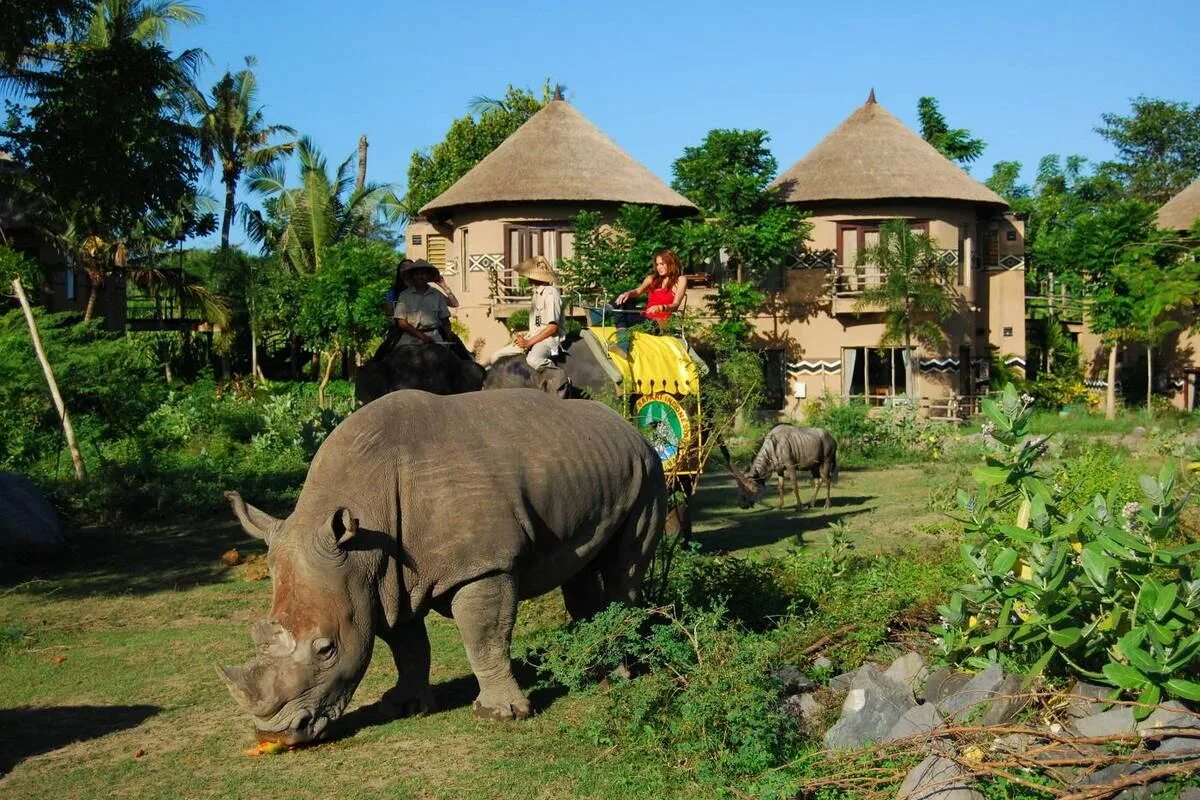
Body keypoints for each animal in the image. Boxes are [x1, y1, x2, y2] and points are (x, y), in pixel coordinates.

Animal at [218, 389, 667, 746]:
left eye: (326, 649)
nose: (275, 733)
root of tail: (627, 424)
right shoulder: (382, 581)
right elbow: (407, 646)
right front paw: (403, 706)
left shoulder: (482, 566)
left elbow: (484, 638)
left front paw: (500, 714)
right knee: (582, 570)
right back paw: (594, 664)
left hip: (647, 469)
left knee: (624, 574)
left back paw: (621, 673)